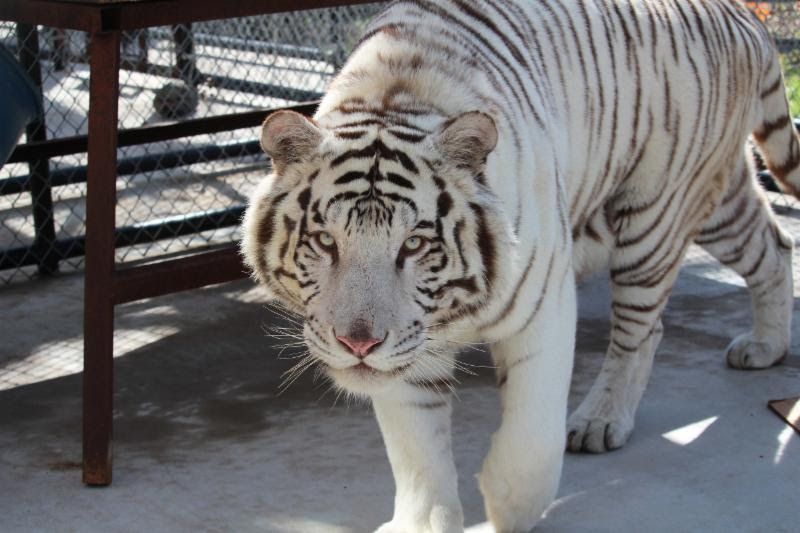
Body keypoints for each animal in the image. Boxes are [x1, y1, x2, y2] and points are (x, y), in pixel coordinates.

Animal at [241, 2, 796, 528]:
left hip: (654, 212)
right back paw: (766, 346)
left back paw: (599, 421)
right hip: (718, 202)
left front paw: (509, 506)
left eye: (415, 244)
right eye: (324, 240)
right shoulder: (409, 348)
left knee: (640, 331)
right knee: (775, 246)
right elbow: (416, 449)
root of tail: (740, 13)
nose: (358, 343)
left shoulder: (544, 307)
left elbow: (532, 433)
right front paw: (423, 521)